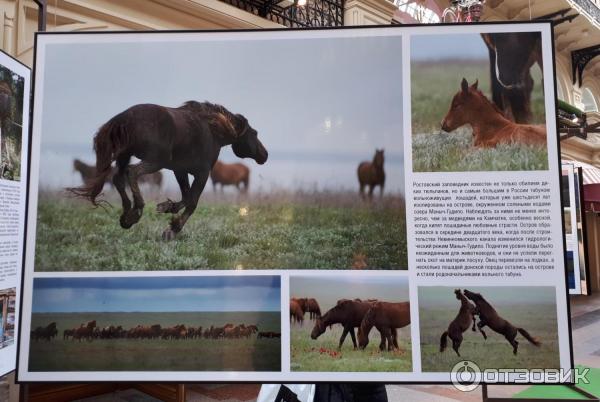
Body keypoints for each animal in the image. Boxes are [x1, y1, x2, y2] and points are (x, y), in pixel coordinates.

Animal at [66, 100, 270, 240]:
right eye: (255, 133)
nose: (264, 155)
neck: (213, 130)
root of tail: (122, 119)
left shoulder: (180, 170)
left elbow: (186, 197)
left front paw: (166, 207)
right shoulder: (202, 173)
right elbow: (192, 202)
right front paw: (172, 229)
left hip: (125, 156)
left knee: (118, 179)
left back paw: (126, 216)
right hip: (155, 160)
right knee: (132, 172)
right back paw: (136, 211)